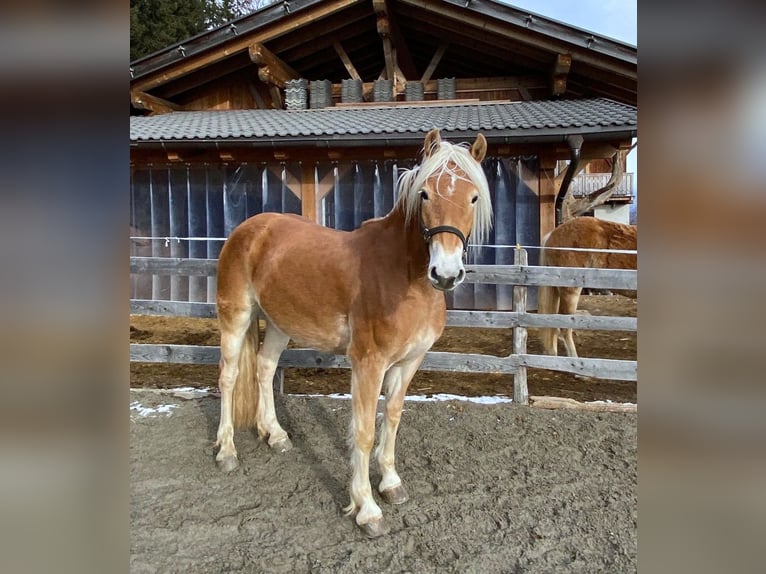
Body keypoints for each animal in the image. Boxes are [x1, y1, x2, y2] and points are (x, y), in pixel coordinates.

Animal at [214, 128, 492, 536]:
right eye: (425, 194)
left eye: (473, 197)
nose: (445, 273)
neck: (402, 276)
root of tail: (249, 229)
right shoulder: (368, 363)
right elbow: (363, 431)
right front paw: (367, 508)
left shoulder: (409, 362)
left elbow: (391, 418)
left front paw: (391, 484)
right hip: (235, 318)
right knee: (229, 378)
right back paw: (226, 451)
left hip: (280, 324)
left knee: (264, 368)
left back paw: (275, 434)